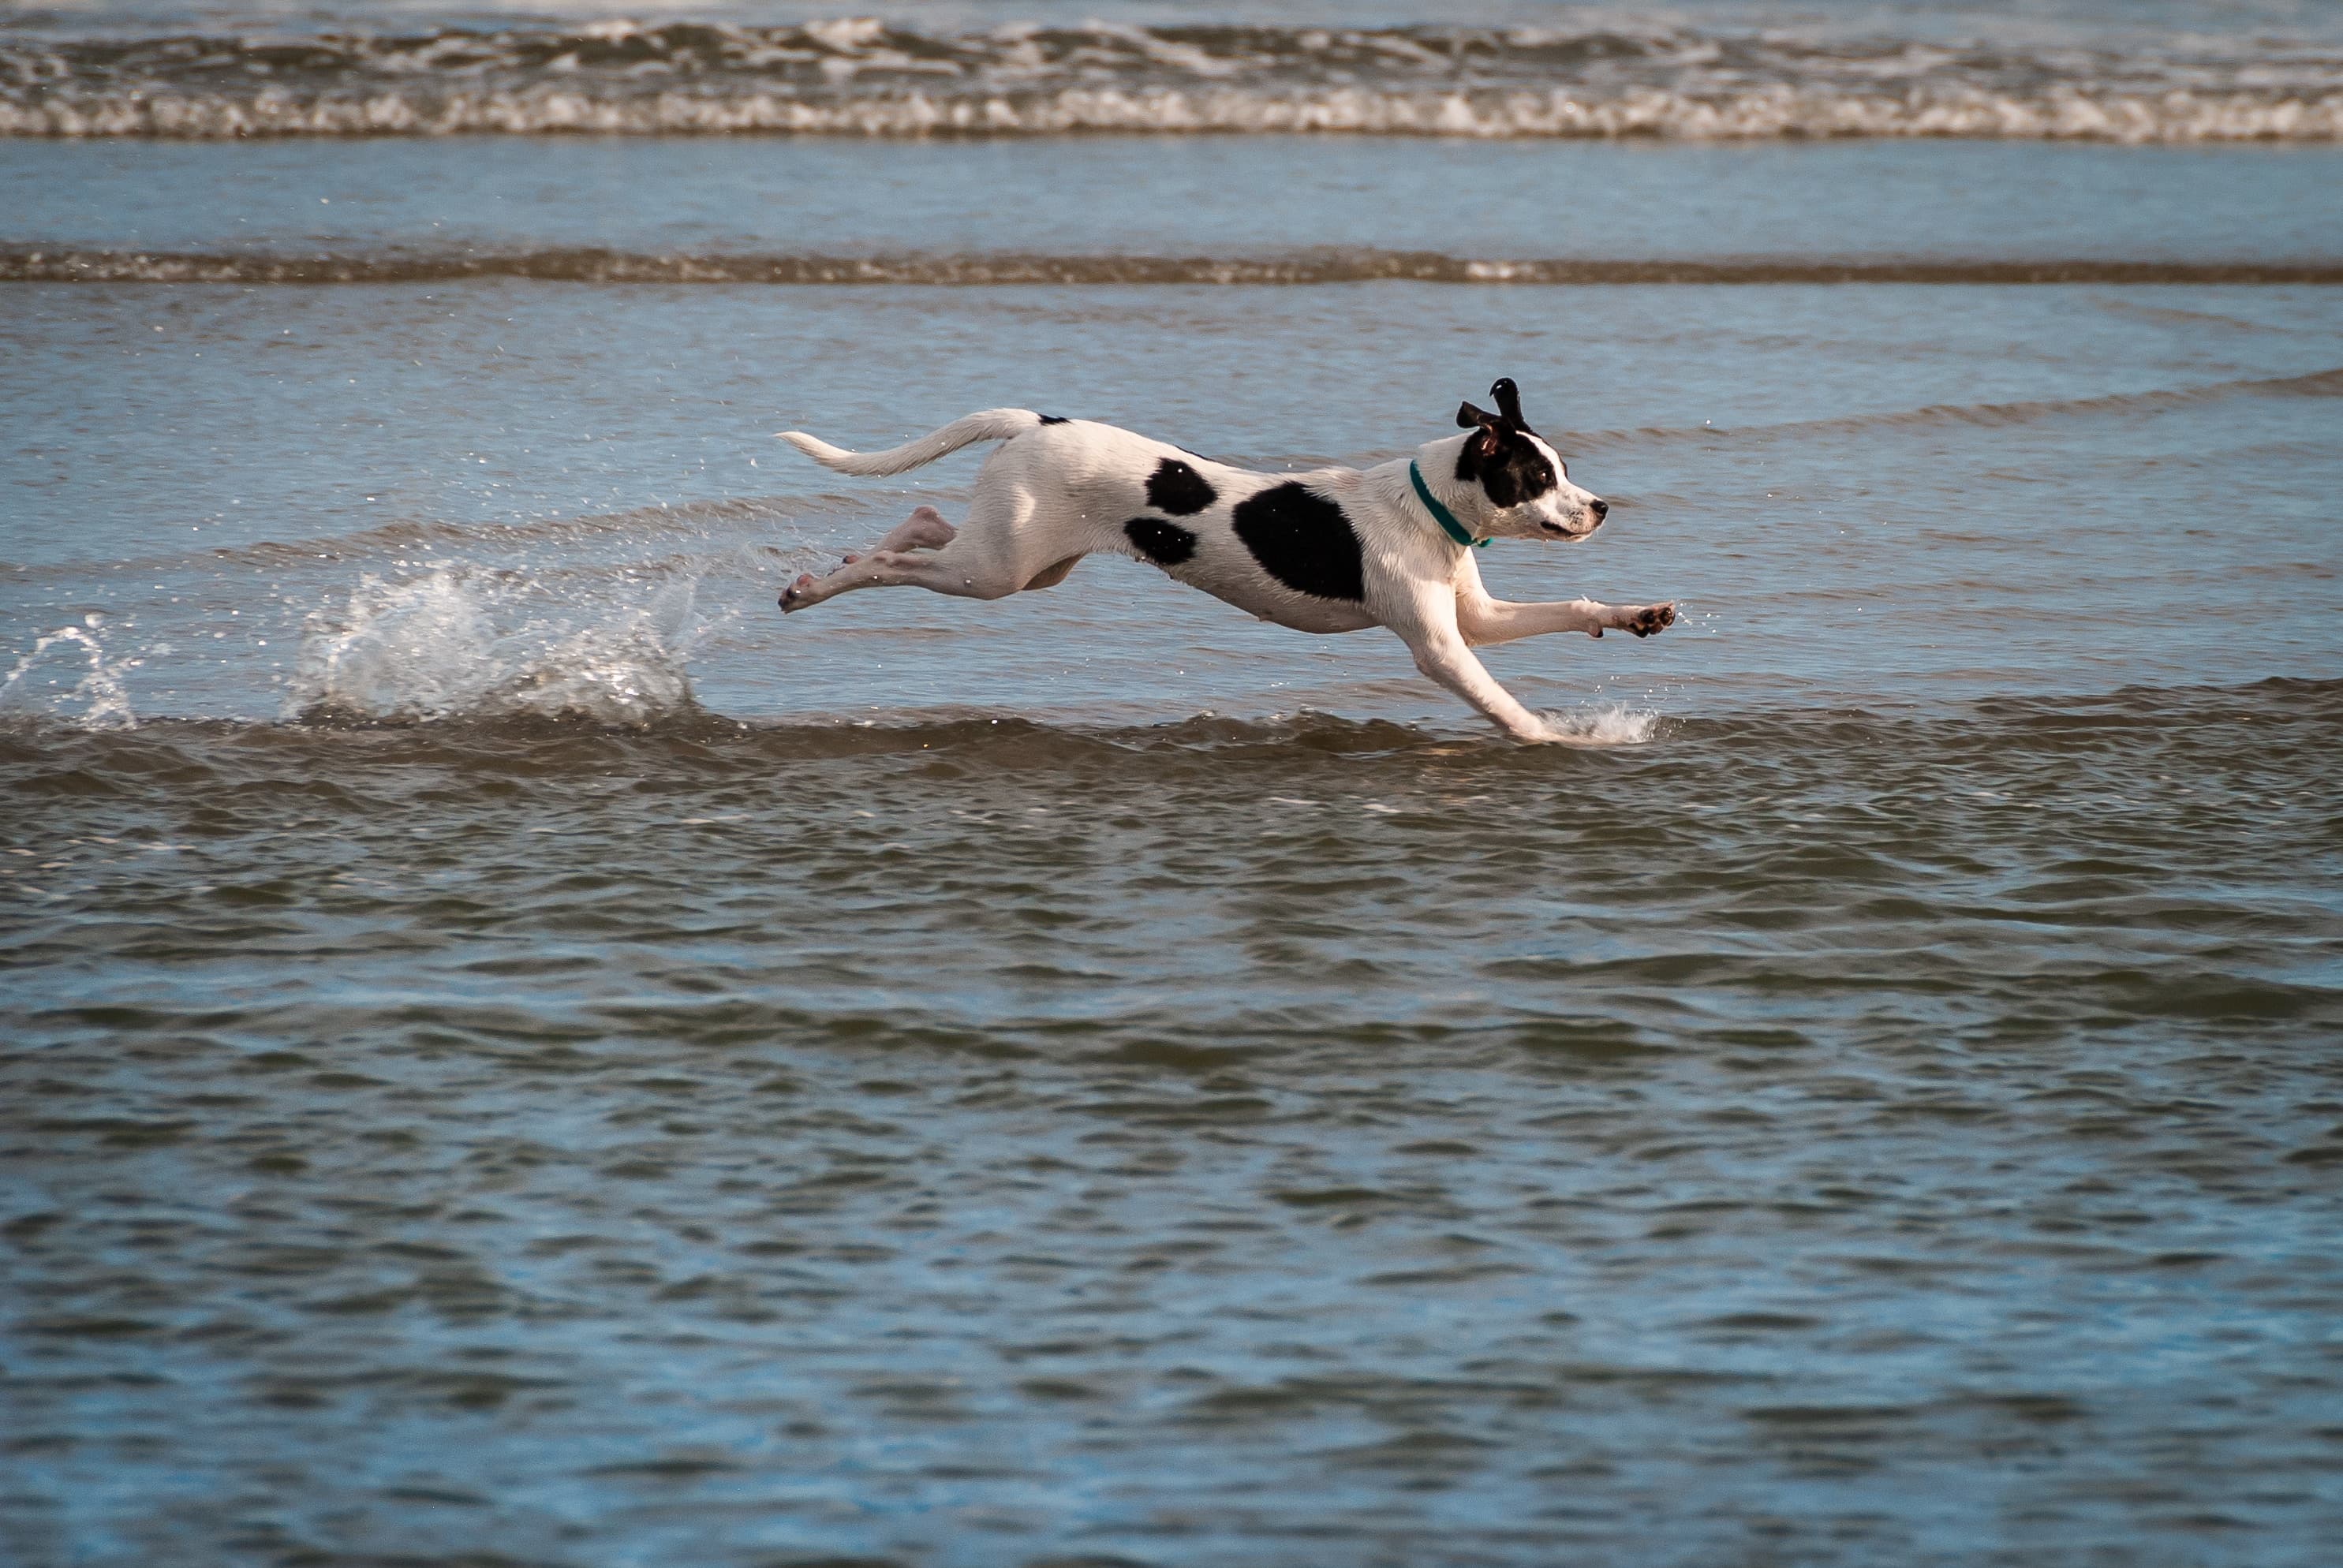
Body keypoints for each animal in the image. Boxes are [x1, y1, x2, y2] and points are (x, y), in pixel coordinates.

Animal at [778, 382, 1677, 745]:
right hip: (996, 573)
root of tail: (1036, 421)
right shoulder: (1442, 649)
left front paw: (1638, 615)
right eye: (1539, 477)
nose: (1601, 507)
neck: (1423, 508)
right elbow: (1501, 703)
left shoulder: (1477, 620)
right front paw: (1560, 739)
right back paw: (817, 584)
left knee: (925, 521)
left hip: (1025, 562)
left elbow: (1570, 609)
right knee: (889, 568)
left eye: (1561, 469)